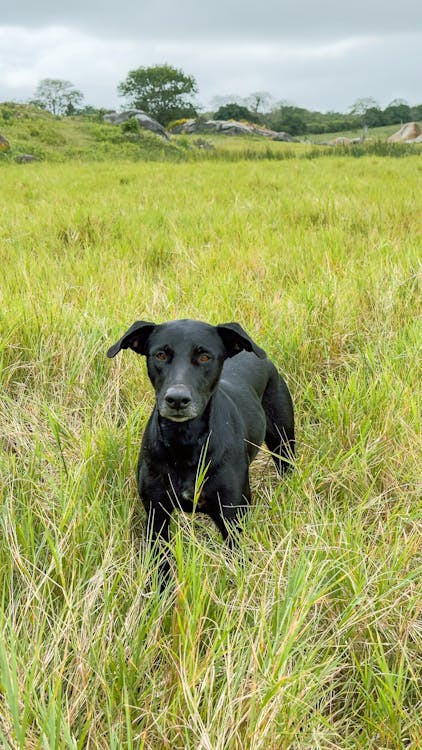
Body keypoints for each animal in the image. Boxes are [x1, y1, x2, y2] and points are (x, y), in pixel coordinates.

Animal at [107, 320, 296, 584]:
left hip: (283, 441)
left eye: (205, 356)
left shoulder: (232, 517)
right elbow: (161, 566)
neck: (184, 443)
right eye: (160, 355)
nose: (177, 399)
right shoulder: (156, 515)